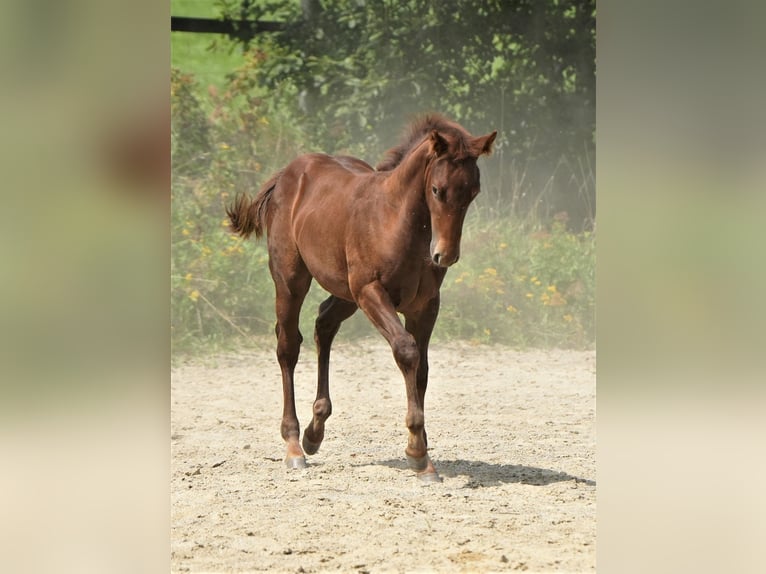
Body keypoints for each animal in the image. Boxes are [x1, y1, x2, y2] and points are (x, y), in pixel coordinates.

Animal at [226, 112, 498, 482]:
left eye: (473, 192)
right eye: (437, 190)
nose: (444, 255)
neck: (396, 221)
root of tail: (287, 174)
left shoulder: (425, 306)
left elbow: (423, 370)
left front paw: (423, 454)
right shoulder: (371, 292)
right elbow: (407, 351)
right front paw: (417, 454)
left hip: (345, 293)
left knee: (324, 323)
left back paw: (315, 431)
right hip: (292, 280)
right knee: (288, 346)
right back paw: (294, 446)